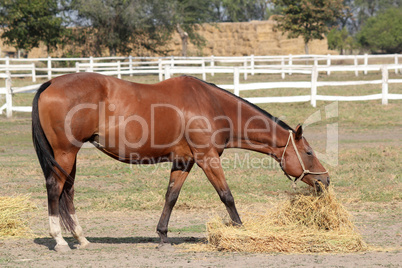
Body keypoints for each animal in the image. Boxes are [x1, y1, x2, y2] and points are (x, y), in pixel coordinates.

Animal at [32, 73, 330, 251]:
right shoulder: (207, 159)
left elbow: (171, 197)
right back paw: (60, 241)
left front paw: (163, 235)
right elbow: (227, 195)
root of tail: (51, 83)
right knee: (55, 189)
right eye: (309, 152)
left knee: (68, 193)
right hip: (65, 153)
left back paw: (81, 238)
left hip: (69, 157)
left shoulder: (183, 162)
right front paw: (241, 230)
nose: (325, 180)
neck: (212, 106)